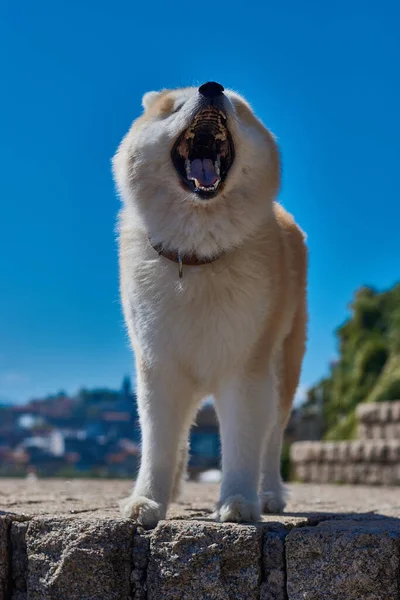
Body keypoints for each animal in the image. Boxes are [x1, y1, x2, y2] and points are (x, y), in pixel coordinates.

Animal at [114, 82, 308, 528]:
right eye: (174, 107)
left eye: (236, 106)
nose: (211, 87)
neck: (195, 256)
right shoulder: (159, 366)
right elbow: (158, 444)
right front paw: (147, 501)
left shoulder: (246, 368)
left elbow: (242, 444)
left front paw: (238, 502)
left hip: (284, 367)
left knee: (272, 441)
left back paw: (269, 494)